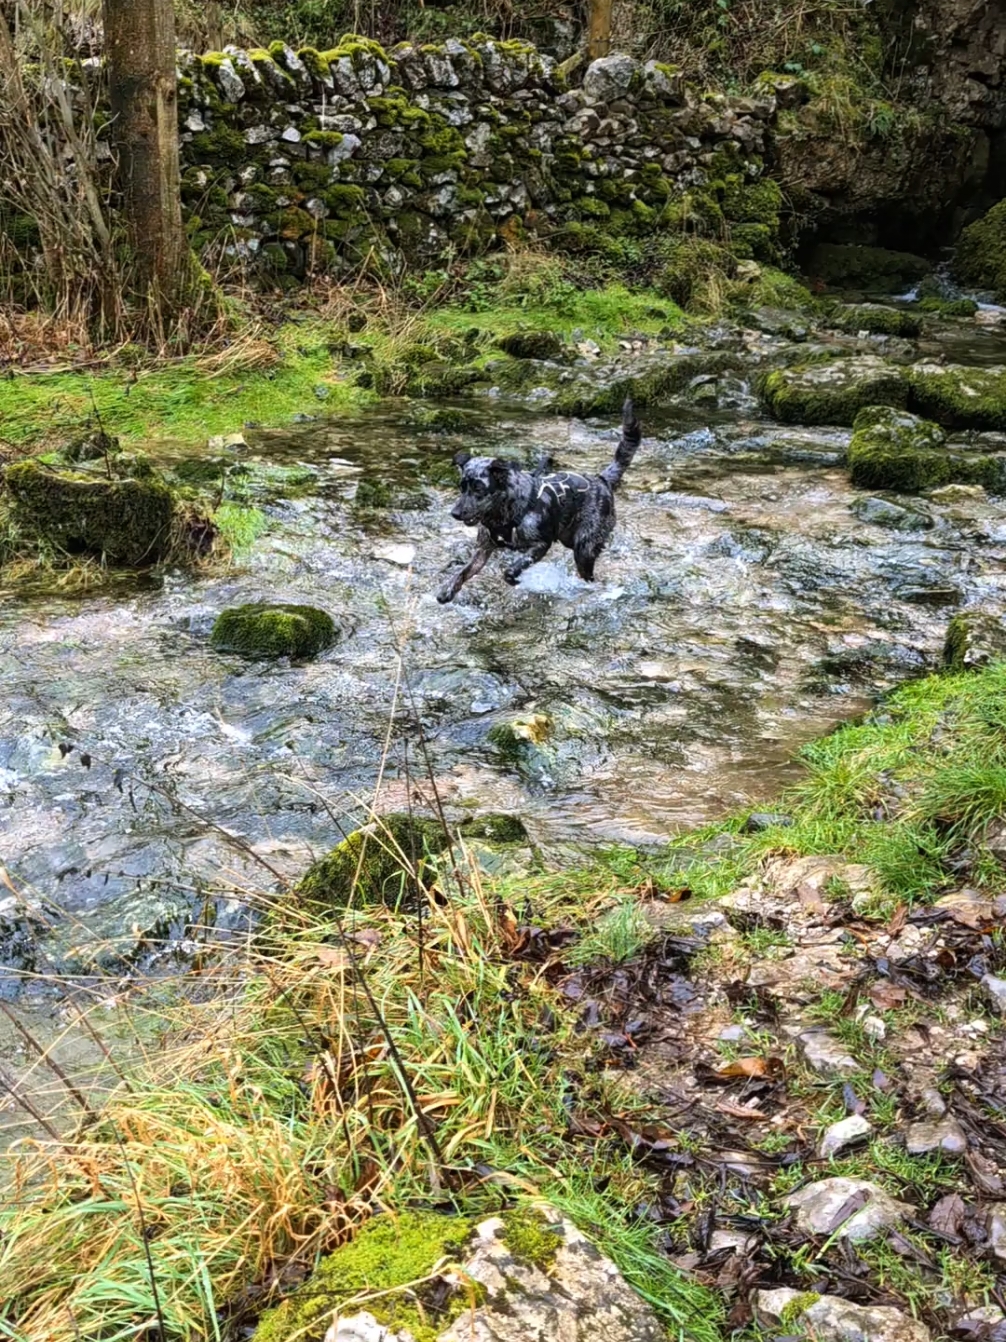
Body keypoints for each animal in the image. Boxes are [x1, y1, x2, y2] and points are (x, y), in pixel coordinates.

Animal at [437, 394, 641, 601]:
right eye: (462, 487)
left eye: (479, 489)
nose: (454, 513)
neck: (504, 511)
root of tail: (602, 480)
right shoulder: (484, 549)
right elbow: (464, 571)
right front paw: (448, 589)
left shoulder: (540, 545)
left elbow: (513, 568)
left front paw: (514, 577)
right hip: (569, 539)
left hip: (584, 548)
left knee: (588, 572)